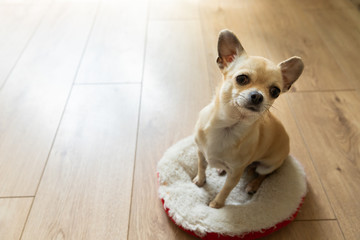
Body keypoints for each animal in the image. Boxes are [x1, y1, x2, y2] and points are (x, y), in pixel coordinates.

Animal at [194, 29, 304, 207]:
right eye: (241, 79)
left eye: (275, 91)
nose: (257, 96)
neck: (228, 126)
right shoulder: (200, 152)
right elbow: (201, 166)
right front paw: (200, 180)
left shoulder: (235, 173)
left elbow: (225, 190)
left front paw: (216, 205)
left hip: (267, 165)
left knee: (264, 174)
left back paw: (253, 185)